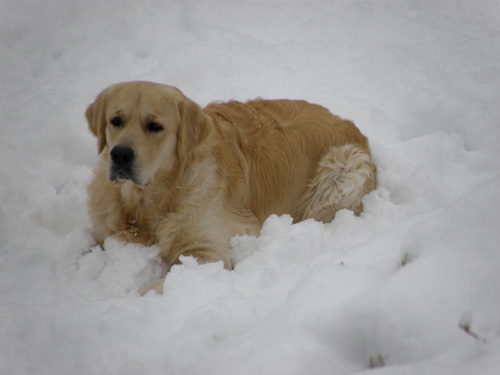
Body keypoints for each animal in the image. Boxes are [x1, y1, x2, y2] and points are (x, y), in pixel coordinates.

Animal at [86, 81, 376, 294]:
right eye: (115, 120)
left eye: (155, 126)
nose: (120, 154)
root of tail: (353, 126)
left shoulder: (208, 253)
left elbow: (149, 288)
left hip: (345, 168)